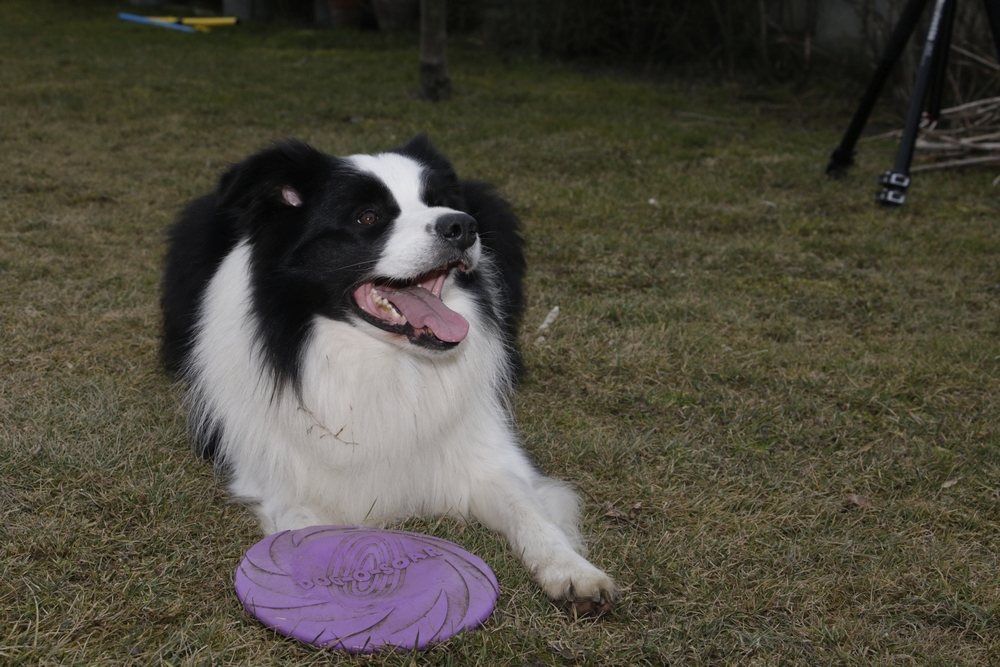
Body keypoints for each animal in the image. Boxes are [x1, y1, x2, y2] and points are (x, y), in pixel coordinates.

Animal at [160, 136, 618, 615]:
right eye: (368, 217)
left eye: (436, 202)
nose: (462, 226)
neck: (384, 362)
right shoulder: (283, 481)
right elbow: (307, 537)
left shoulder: (486, 454)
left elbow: (528, 509)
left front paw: (571, 570)